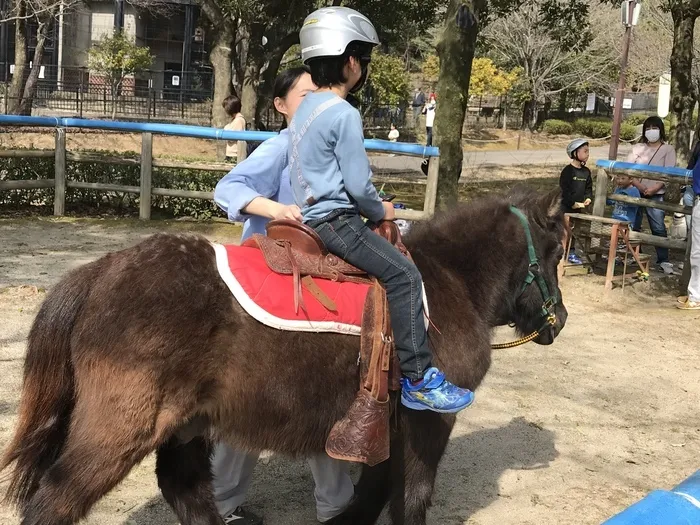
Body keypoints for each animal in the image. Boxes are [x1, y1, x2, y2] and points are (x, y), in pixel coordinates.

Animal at [0, 188, 568, 524]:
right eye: (554, 252)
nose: (557, 321)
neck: (447, 281)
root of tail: (100, 270)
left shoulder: (391, 426)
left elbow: (375, 491)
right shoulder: (428, 422)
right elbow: (411, 495)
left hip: (183, 425)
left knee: (187, 490)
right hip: (121, 430)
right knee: (56, 500)